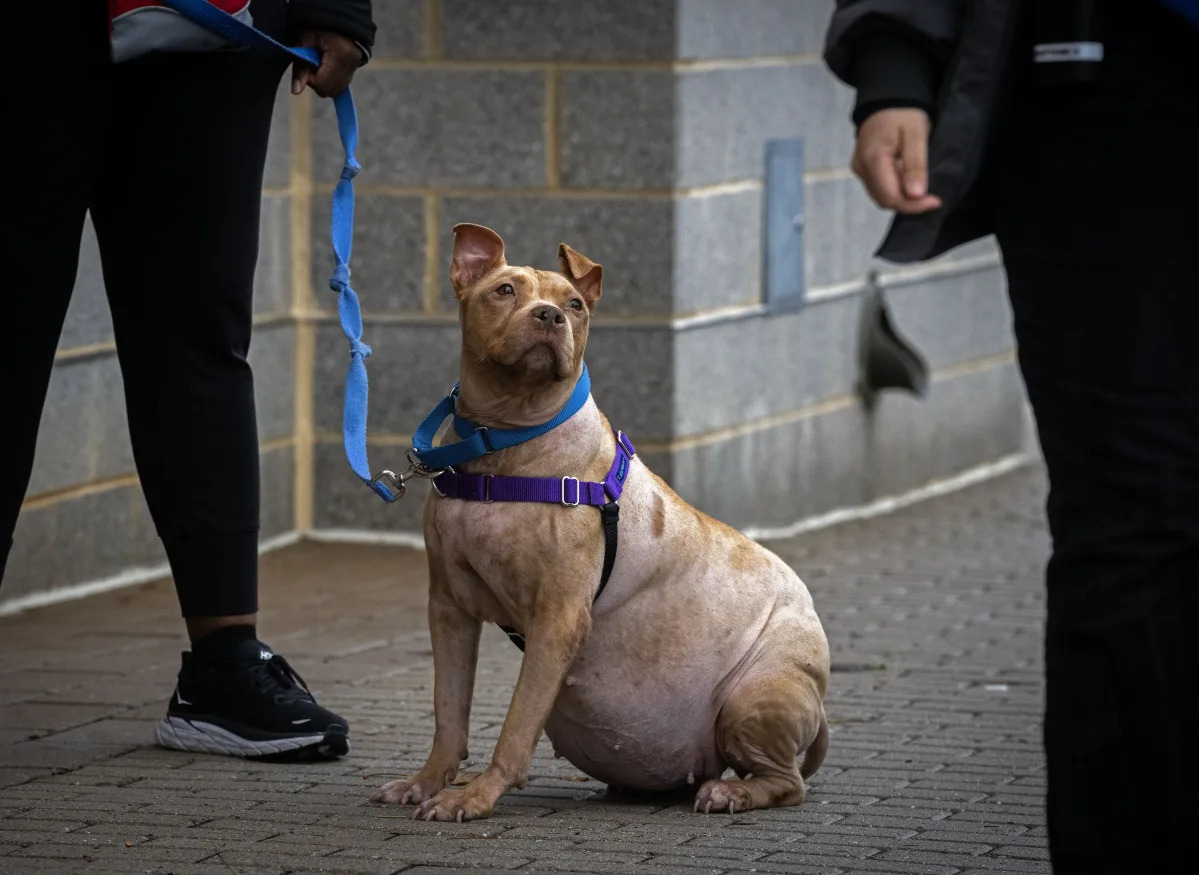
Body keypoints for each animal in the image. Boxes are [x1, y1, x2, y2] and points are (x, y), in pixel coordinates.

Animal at [374, 219, 834, 819]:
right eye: (504, 291)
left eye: (574, 303)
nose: (550, 315)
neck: (506, 446)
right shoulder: (449, 609)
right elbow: (448, 712)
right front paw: (428, 782)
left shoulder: (558, 619)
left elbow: (517, 724)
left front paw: (475, 796)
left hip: (755, 695)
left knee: (787, 781)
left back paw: (731, 791)